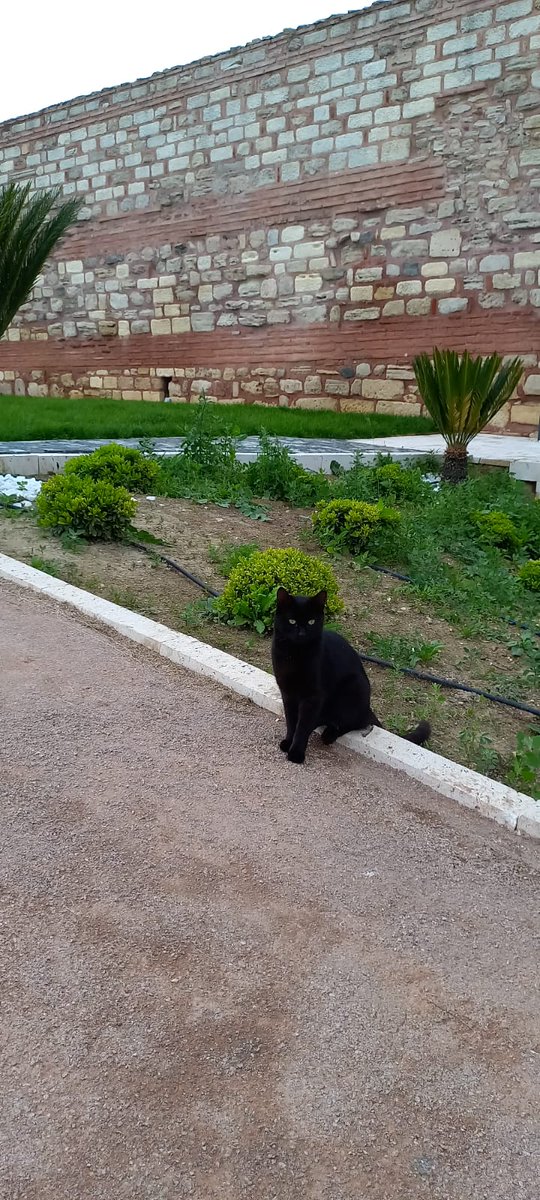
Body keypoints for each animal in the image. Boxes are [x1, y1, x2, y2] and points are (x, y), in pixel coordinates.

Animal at [272, 585, 432, 763]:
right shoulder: (287, 693)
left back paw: (329, 734)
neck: (295, 654)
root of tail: (368, 709)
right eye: (292, 621)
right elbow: (291, 722)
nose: (301, 633)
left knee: (356, 722)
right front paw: (288, 742)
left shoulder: (313, 697)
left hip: (353, 688)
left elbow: (302, 726)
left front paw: (296, 753)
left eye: (311, 621)